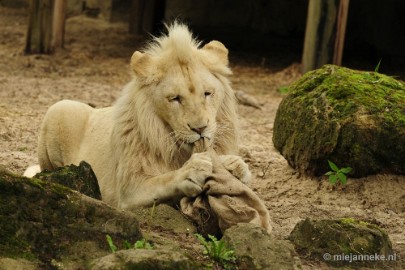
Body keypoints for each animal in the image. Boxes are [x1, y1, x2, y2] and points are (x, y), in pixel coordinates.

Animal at [25, 22, 249, 209]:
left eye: (207, 93)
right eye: (175, 98)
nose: (200, 128)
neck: (177, 148)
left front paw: (236, 168)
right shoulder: (129, 192)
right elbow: (164, 180)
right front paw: (192, 171)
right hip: (60, 107)